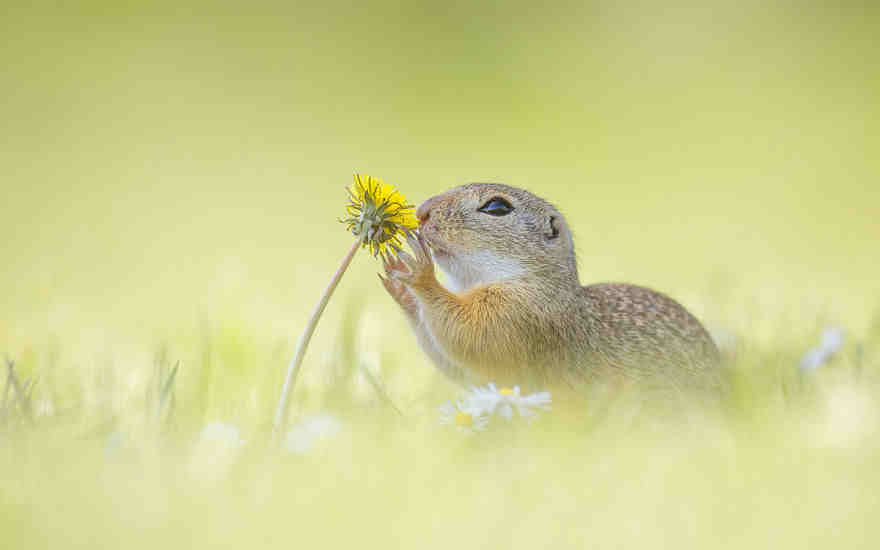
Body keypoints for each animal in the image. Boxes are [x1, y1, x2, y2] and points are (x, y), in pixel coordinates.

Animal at [380, 183, 720, 390]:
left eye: (496, 207)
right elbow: (458, 367)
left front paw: (420, 273)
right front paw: (402, 288)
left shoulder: (516, 316)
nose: (421, 211)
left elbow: (468, 333)